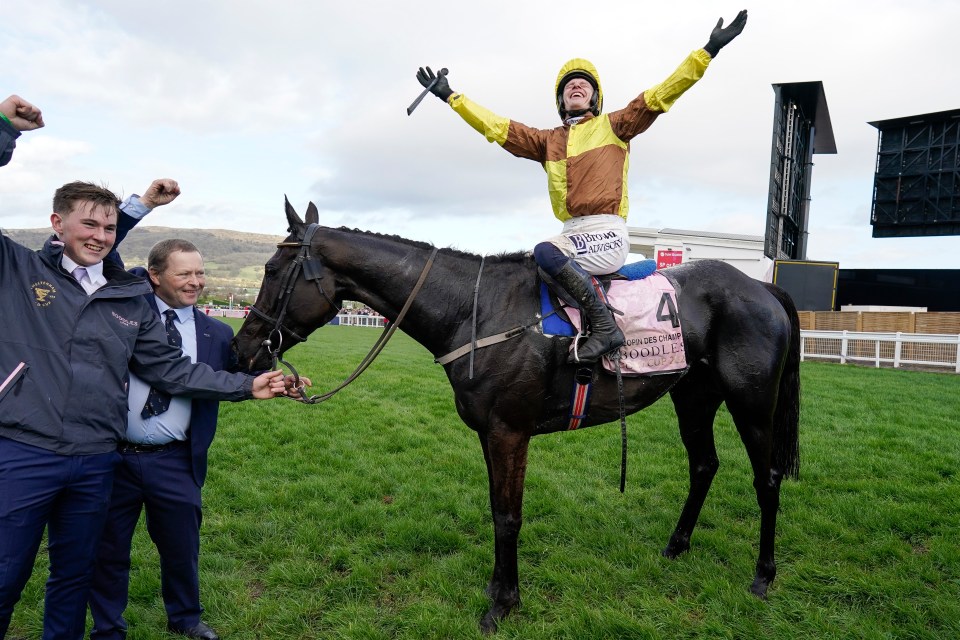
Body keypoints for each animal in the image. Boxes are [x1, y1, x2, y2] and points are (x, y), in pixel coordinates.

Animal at [234, 201, 804, 636]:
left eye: (271, 271)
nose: (243, 351)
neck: (475, 310)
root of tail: (761, 288)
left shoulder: (509, 432)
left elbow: (508, 516)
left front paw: (502, 604)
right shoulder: (491, 434)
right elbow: (496, 510)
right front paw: (497, 589)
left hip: (752, 403)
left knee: (767, 478)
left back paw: (763, 575)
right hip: (692, 397)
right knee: (704, 465)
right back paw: (677, 545)